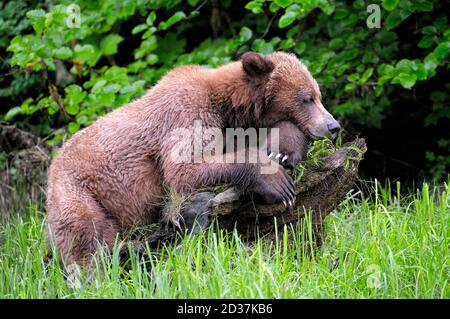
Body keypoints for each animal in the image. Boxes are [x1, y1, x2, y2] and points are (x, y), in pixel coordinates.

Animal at [46, 52, 342, 268]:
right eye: (306, 99)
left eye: (318, 95)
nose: (333, 126)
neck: (229, 108)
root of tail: (51, 168)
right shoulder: (188, 113)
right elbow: (184, 169)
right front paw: (277, 184)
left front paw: (282, 152)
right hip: (80, 193)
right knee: (86, 241)